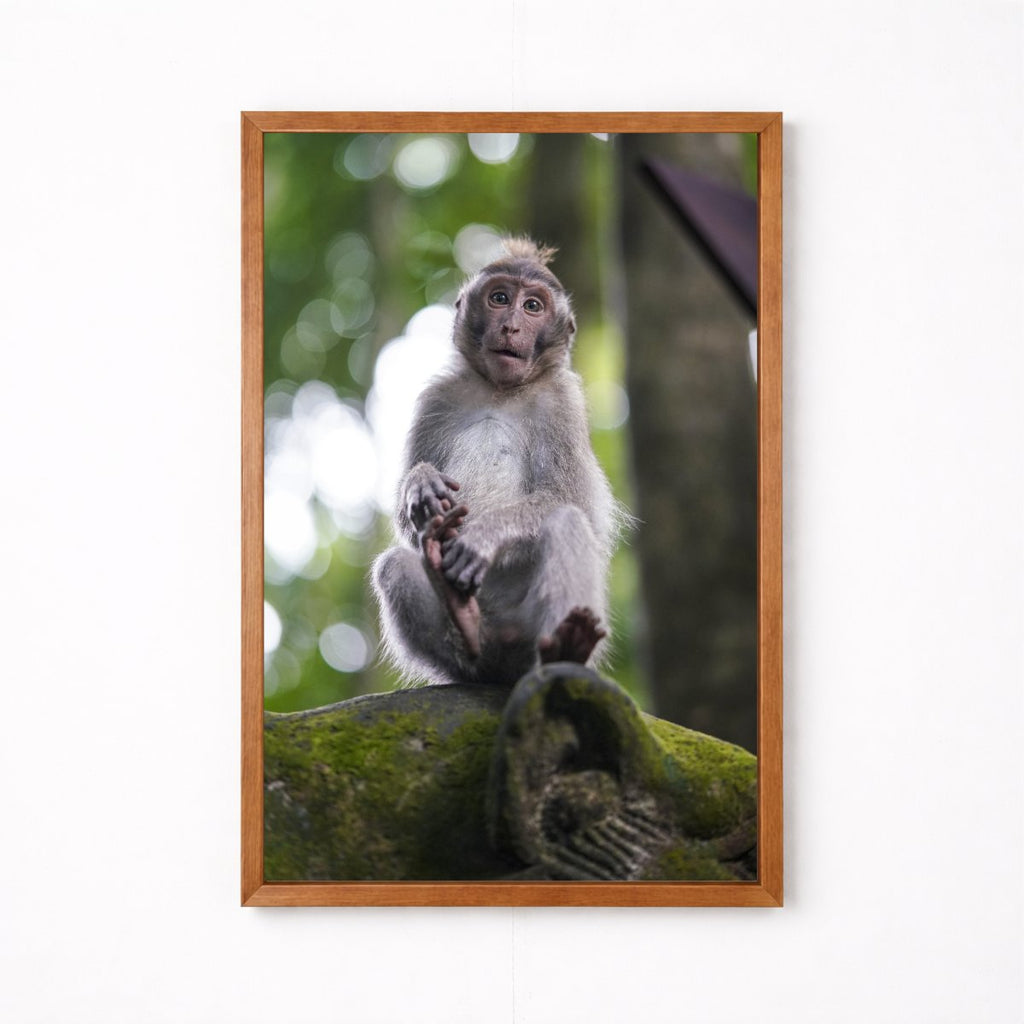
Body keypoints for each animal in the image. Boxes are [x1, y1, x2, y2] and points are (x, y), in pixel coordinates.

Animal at [372, 237, 620, 687]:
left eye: (533, 307)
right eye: (500, 299)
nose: (511, 327)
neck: (500, 391)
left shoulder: (562, 404)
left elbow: (572, 501)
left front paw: (484, 535)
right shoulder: (437, 399)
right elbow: (407, 526)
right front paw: (421, 482)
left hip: (530, 630)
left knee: (566, 520)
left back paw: (567, 649)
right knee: (394, 564)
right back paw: (468, 632)